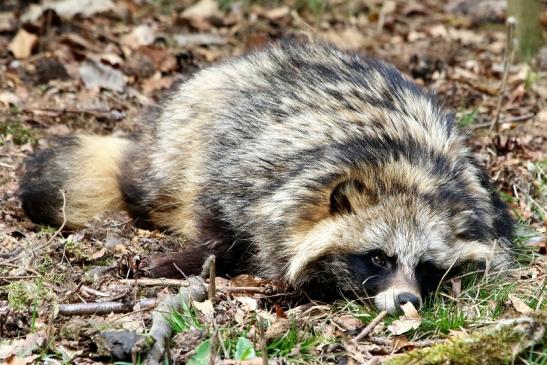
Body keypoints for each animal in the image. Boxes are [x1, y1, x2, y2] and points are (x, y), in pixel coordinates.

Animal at [19, 42, 512, 310]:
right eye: (379, 258)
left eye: (426, 267)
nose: (408, 300)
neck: (411, 170)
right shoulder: (252, 169)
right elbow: (219, 225)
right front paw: (187, 260)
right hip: (185, 128)